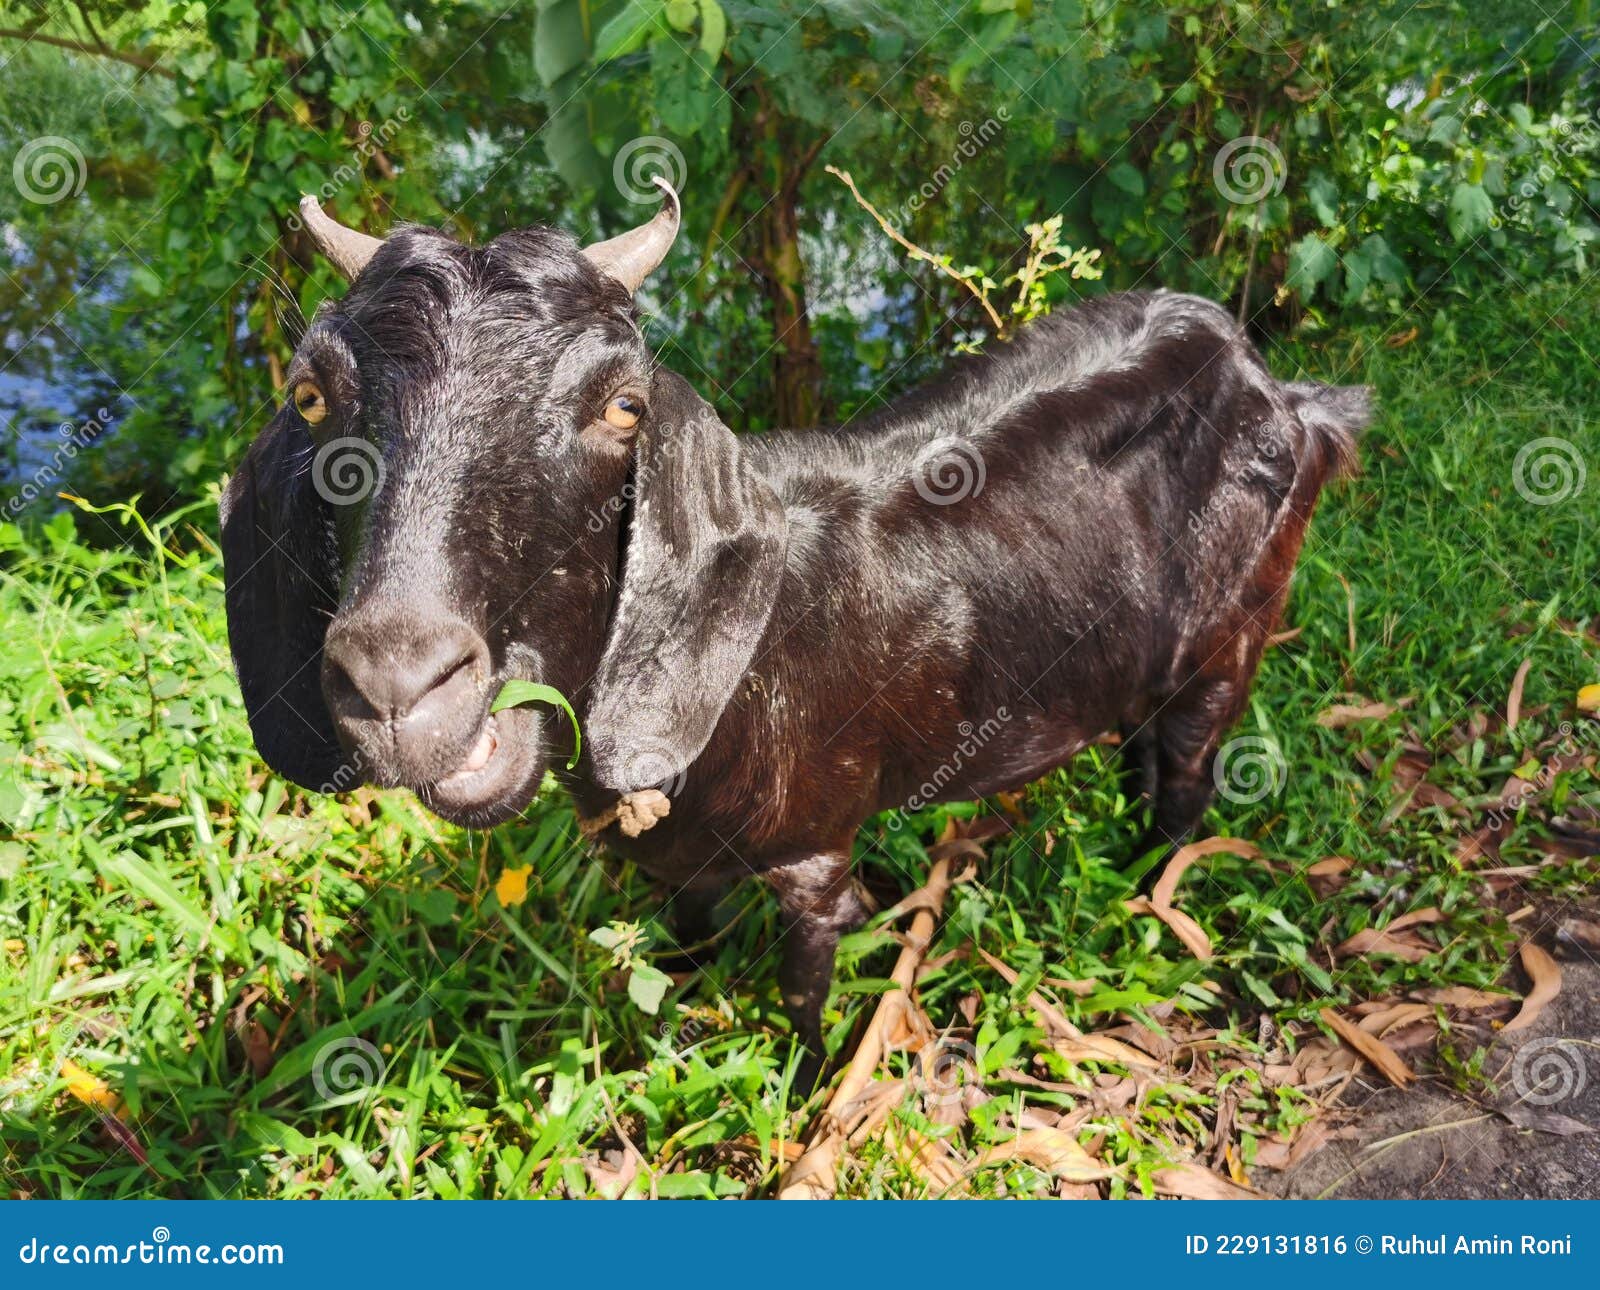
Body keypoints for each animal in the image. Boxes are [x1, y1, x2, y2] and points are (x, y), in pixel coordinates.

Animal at [222, 184, 1369, 1083]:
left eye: (624, 406)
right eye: (312, 395)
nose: (401, 684)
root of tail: (1283, 391)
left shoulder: (818, 857)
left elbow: (806, 994)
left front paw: (808, 1092)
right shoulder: (678, 863)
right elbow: (683, 948)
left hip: (1233, 637)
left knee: (1187, 776)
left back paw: (1145, 896)